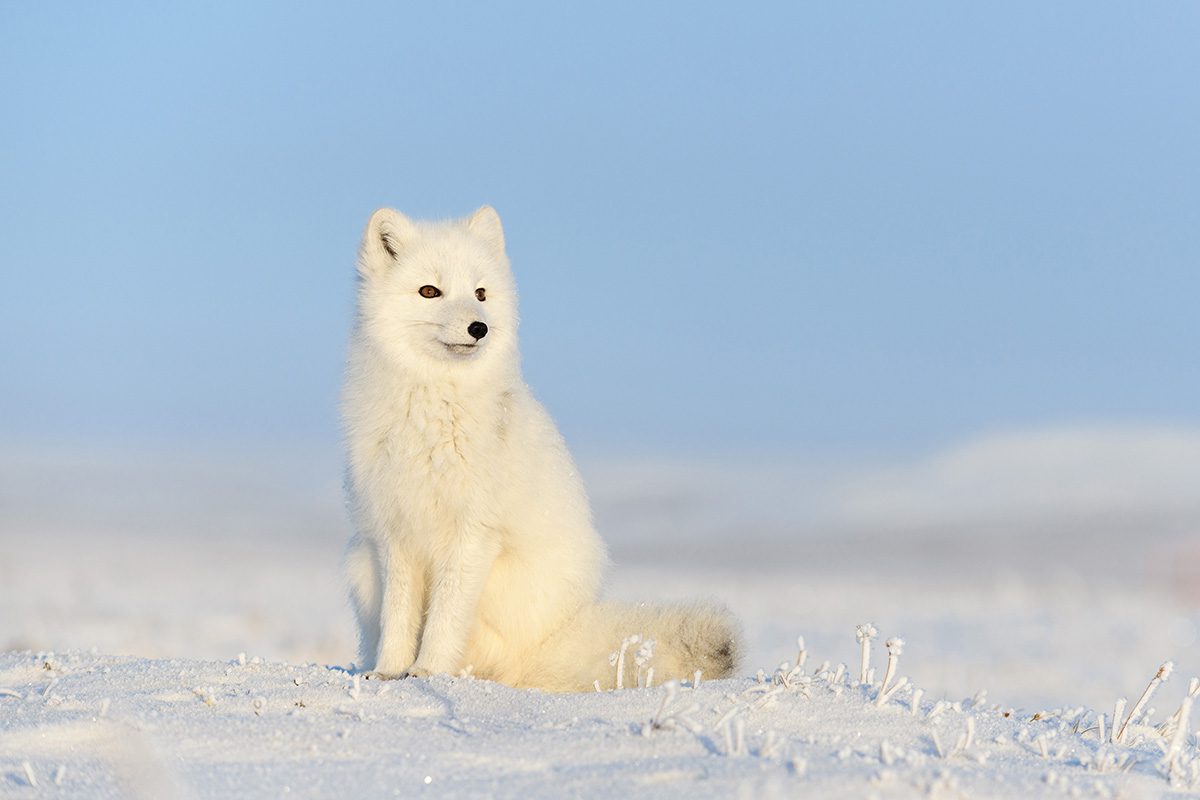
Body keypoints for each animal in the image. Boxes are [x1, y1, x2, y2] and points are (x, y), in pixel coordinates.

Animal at [342, 206, 740, 691]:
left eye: (480, 293)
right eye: (429, 291)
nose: (479, 327)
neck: (433, 411)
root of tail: (556, 640)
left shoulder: (473, 533)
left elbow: (444, 618)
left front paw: (429, 670)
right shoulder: (395, 532)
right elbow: (398, 617)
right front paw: (389, 671)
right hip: (360, 564)